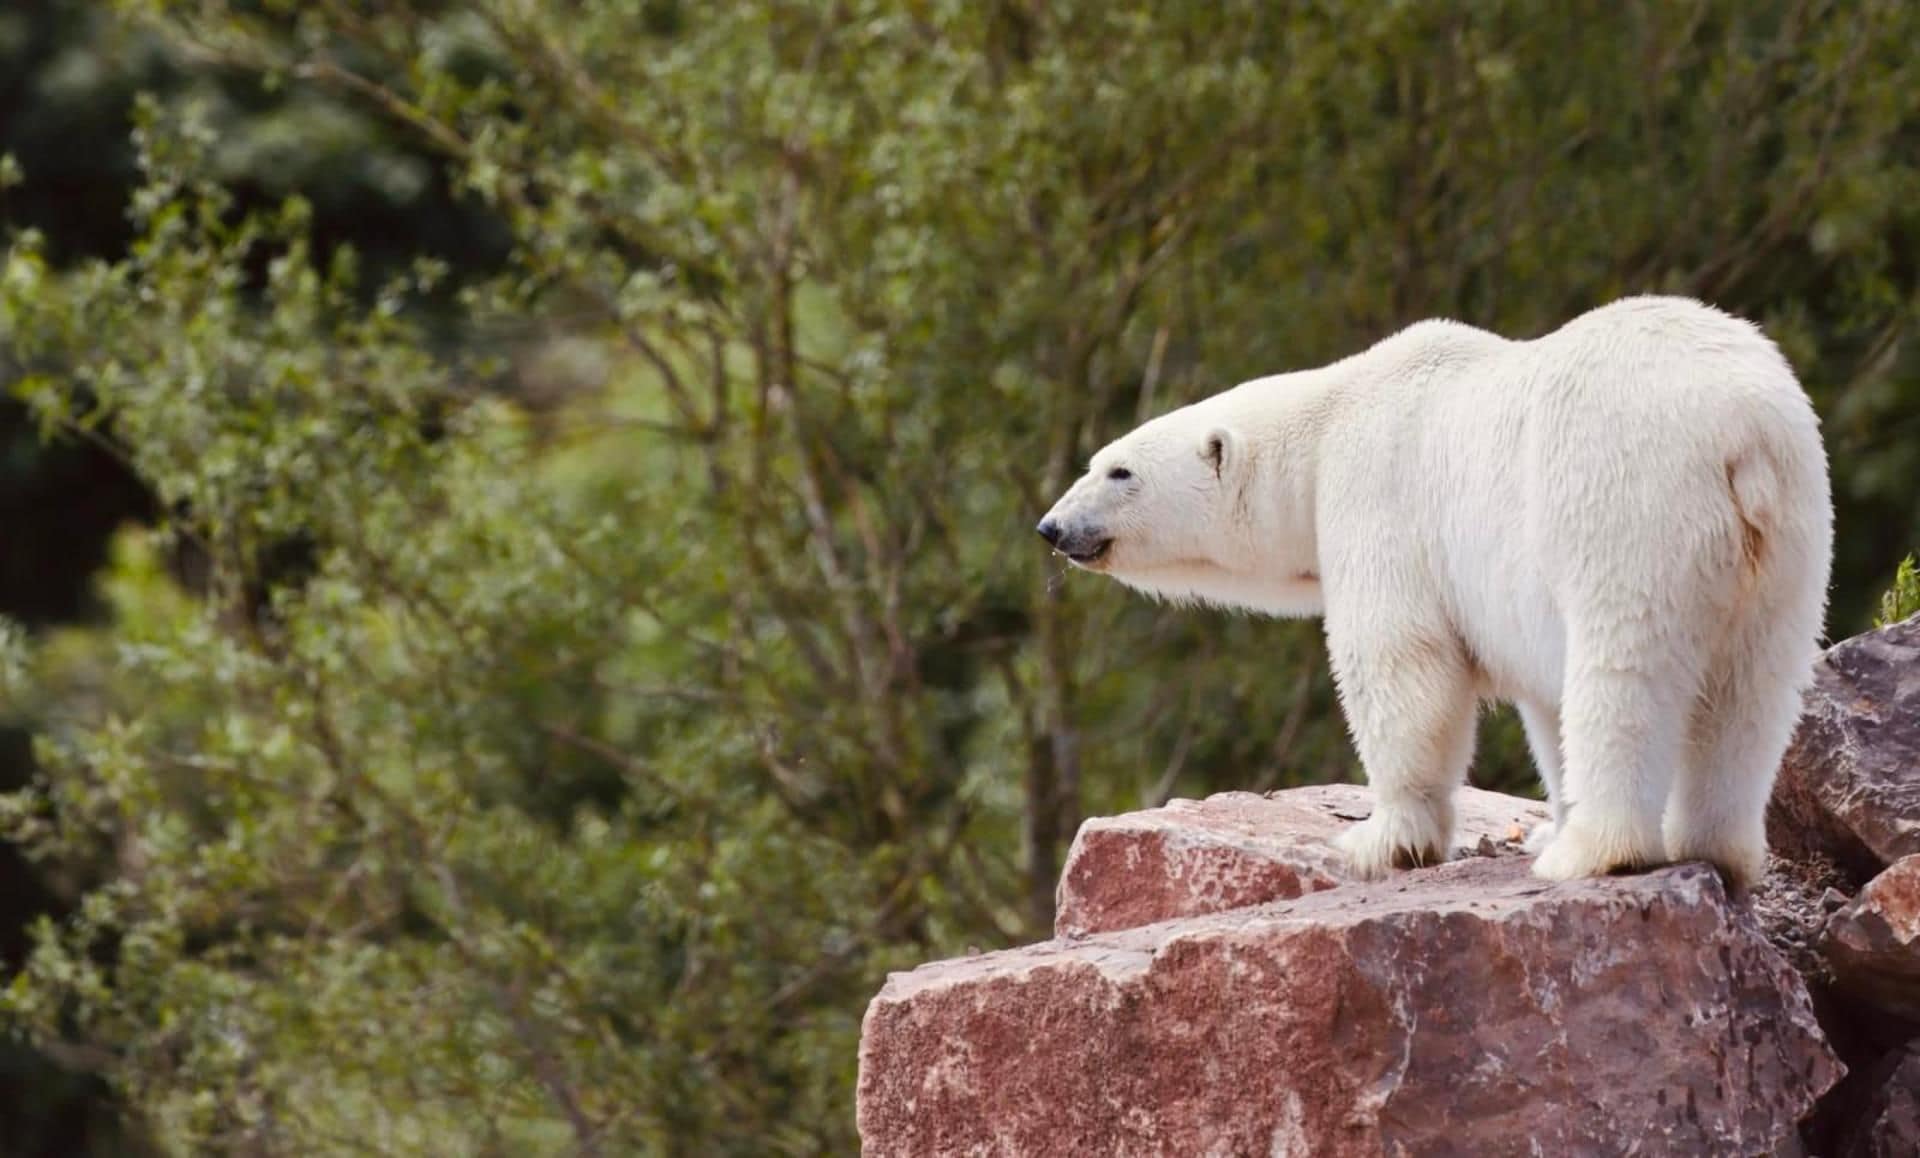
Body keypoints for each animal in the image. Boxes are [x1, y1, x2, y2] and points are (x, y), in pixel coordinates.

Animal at [1037, 296, 1833, 889]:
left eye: (1118, 472)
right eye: (1098, 462)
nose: (1052, 527)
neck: (1330, 417)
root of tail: (1739, 435)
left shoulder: (1379, 496)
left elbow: (1402, 668)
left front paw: (1378, 841)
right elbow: (1542, 699)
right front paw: (1543, 820)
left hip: (1624, 502)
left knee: (1625, 672)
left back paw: (1593, 852)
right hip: (1790, 534)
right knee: (1754, 690)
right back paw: (1713, 845)